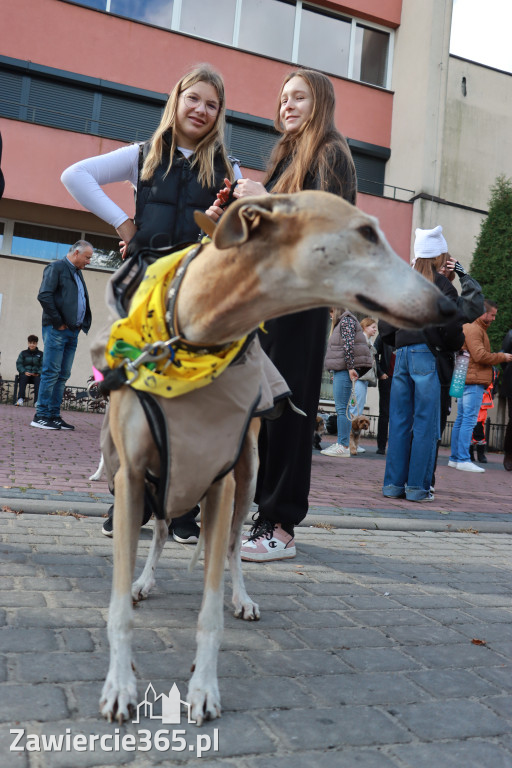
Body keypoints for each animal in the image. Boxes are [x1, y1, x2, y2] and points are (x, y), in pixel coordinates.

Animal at [100, 190, 456, 728]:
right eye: (366, 233)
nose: (449, 306)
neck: (196, 336)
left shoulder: (219, 480)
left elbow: (210, 609)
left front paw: (203, 688)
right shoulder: (133, 475)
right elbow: (119, 603)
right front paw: (120, 683)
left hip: (245, 478)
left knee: (229, 548)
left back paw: (243, 597)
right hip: (162, 480)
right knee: (161, 532)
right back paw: (146, 580)